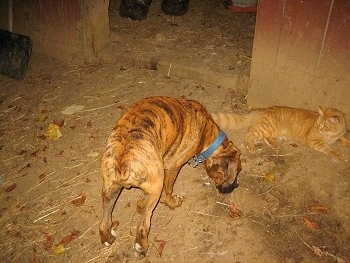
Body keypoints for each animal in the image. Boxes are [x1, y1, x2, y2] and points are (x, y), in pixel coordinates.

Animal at [98, 96, 241, 258]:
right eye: (238, 171)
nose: (236, 185)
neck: (207, 132)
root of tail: (123, 156)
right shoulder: (172, 167)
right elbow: (168, 190)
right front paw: (172, 202)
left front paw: (142, 203)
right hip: (156, 185)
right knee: (143, 226)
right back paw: (141, 248)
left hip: (110, 190)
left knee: (104, 223)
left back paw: (108, 238)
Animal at [212, 106, 350, 161]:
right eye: (318, 124)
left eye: (325, 126)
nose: (320, 129)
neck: (331, 136)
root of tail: (260, 110)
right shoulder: (315, 141)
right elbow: (328, 149)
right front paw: (337, 154)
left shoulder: (340, 137)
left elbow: (345, 140)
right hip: (264, 128)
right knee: (249, 134)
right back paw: (251, 146)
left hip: (269, 131)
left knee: (265, 138)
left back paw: (273, 144)